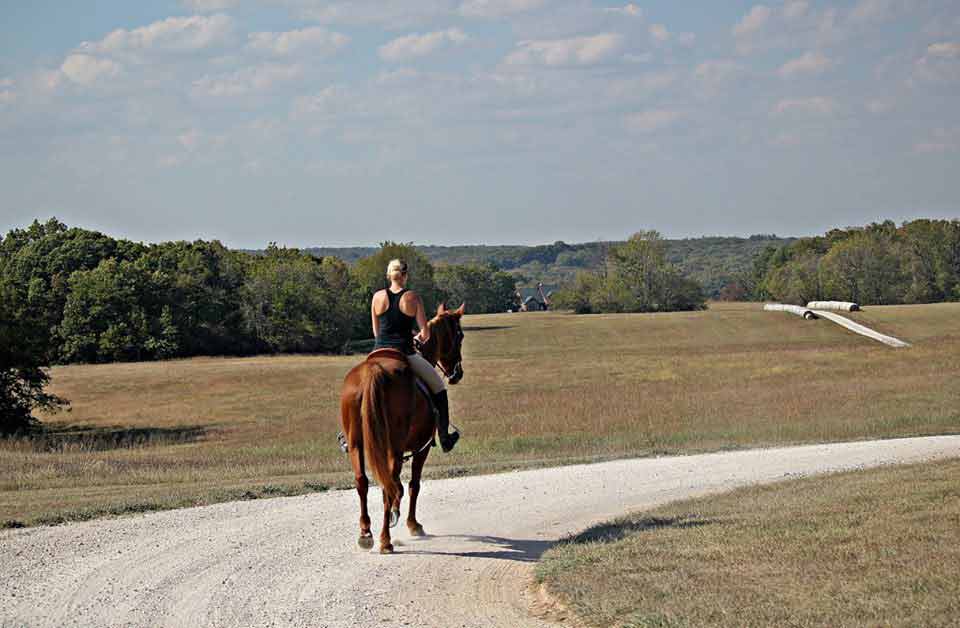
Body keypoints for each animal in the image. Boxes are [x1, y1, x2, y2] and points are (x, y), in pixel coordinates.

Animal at [339, 302, 466, 554]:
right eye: (460, 336)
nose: (457, 373)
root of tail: (373, 371)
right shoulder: (421, 447)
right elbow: (413, 485)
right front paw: (412, 524)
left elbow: (398, 484)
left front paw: (396, 515)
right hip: (395, 447)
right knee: (388, 486)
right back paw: (385, 540)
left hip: (358, 444)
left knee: (363, 482)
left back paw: (366, 533)